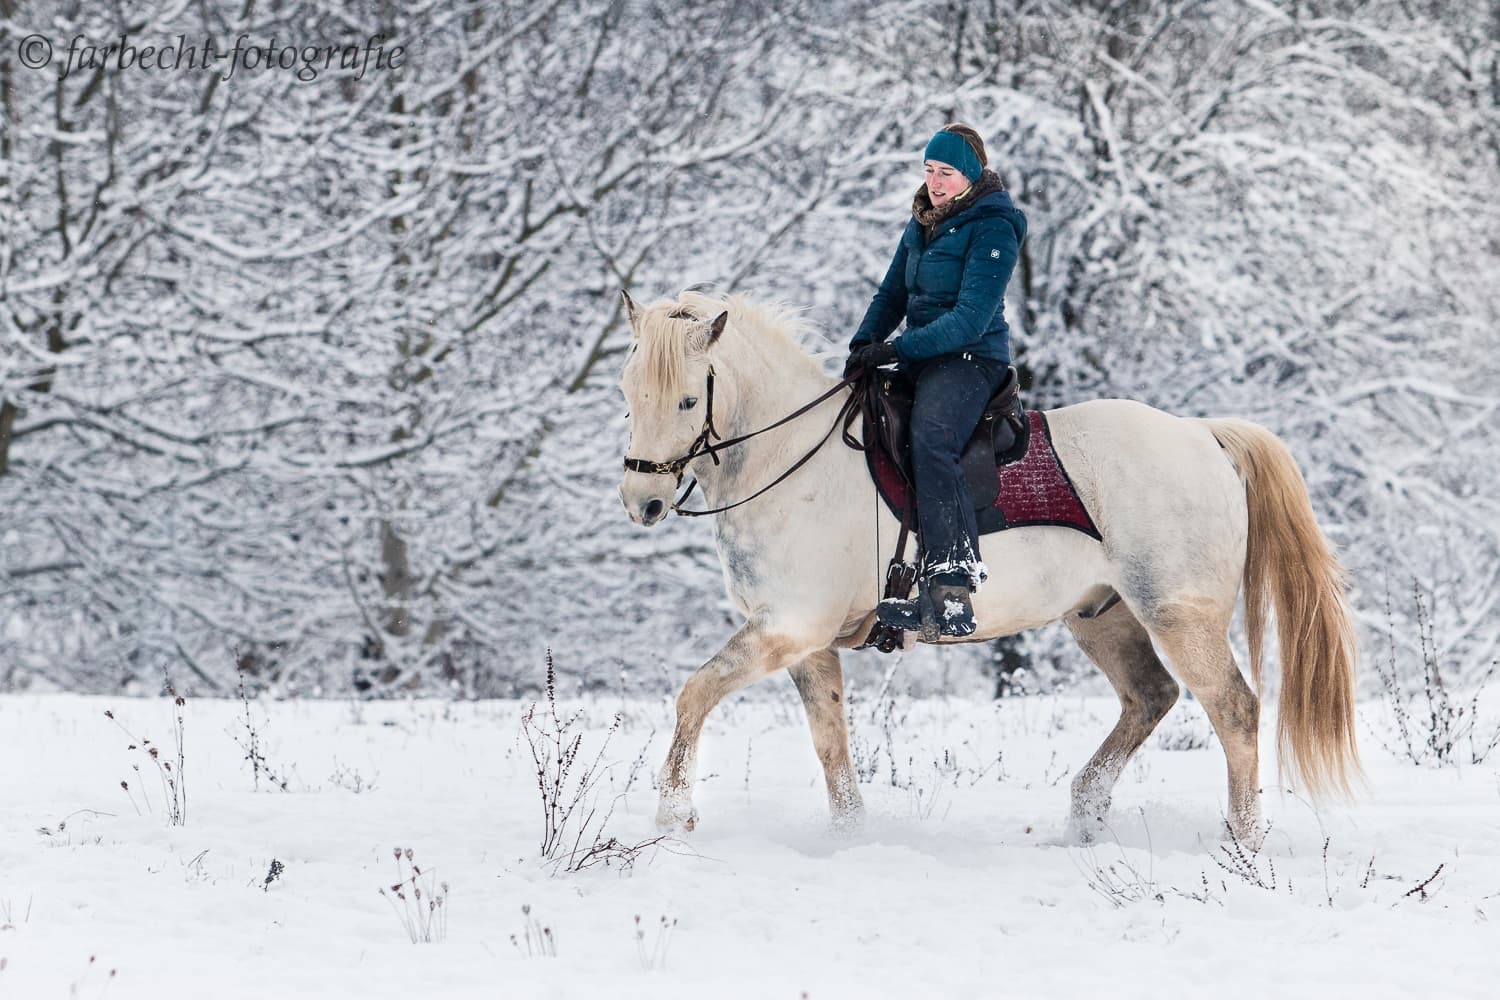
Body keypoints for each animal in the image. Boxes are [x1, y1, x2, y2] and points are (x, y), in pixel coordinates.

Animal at [617, 288, 1358, 843]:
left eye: (688, 400)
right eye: (629, 394)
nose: (642, 501)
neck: (789, 458)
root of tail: (1202, 435)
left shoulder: (788, 628)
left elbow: (694, 693)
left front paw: (673, 814)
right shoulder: (804, 644)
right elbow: (830, 741)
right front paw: (850, 836)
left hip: (1180, 617)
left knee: (1233, 710)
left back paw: (1242, 840)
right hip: (1102, 617)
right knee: (1152, 698)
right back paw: (1086, 818)